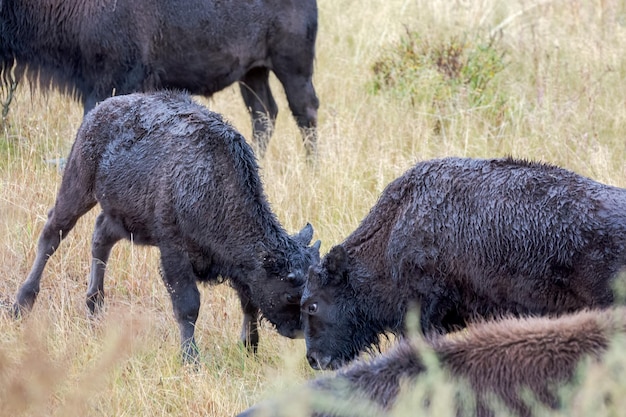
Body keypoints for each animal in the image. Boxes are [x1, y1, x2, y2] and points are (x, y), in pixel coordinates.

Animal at [0, 0, 320, 158]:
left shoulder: (113, 82)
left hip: (292, 66)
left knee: (304, 111)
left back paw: (312, 167)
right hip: (252, 73)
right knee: (264, 114)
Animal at [12, 90, 320, 360]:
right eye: (291, 293)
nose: (299, 332)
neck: (215, 184)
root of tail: (101, 108)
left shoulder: (237, 267)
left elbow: (249, 303)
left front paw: (249, 348)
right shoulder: (174, 250)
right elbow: (188, 305)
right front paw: (191, 358)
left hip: (125, 218)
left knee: (100, 237)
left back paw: (95, 307)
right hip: (78, 185)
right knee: (52, 234)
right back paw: (21, 304)